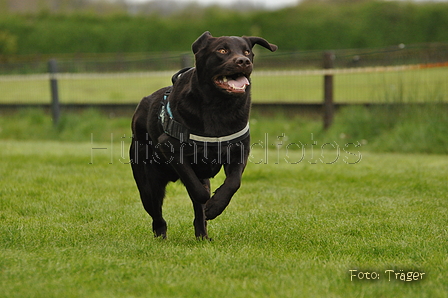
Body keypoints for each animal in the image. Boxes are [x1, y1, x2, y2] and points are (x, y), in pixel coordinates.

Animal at [130, 31, 276, 239]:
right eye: (222, 50)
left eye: (247, 51)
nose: (243, 61)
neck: (219, 107)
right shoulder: (171, 148)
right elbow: (196, 188)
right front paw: (208, 202)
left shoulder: (239, 152)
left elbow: (234, 182)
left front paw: (215, 206)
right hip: (148, 184)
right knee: (157, 216)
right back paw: (162, 237)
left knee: (197, 216)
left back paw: (203, 237)